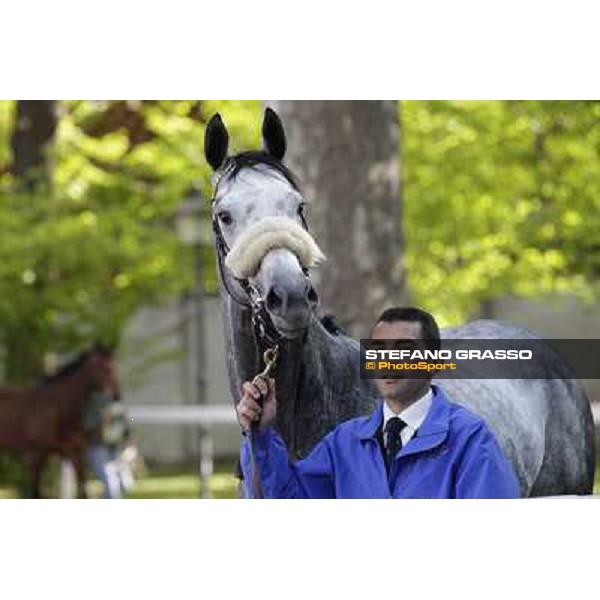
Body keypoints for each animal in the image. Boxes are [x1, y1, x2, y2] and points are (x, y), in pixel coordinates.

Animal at [0, 344, 118, 500]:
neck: (57, 409)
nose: (116, 396)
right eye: (105, 367)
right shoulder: (37, 455)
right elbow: (35, 493)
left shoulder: (74, 454)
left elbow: (84, 491)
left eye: (115, 366)